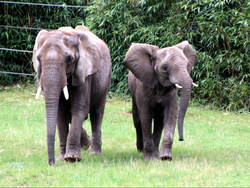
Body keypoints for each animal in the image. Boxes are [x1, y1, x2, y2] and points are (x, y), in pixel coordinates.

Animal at [32, 25, 111, 165]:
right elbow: (60, 112)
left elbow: (79, 109)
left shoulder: (84, 73)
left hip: (105, 80)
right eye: (38, 59)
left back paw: (95, 153)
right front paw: (61, 158)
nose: (51, 163)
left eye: (69, 60)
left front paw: (71, 158)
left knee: (97, 114)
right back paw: (85, 144)